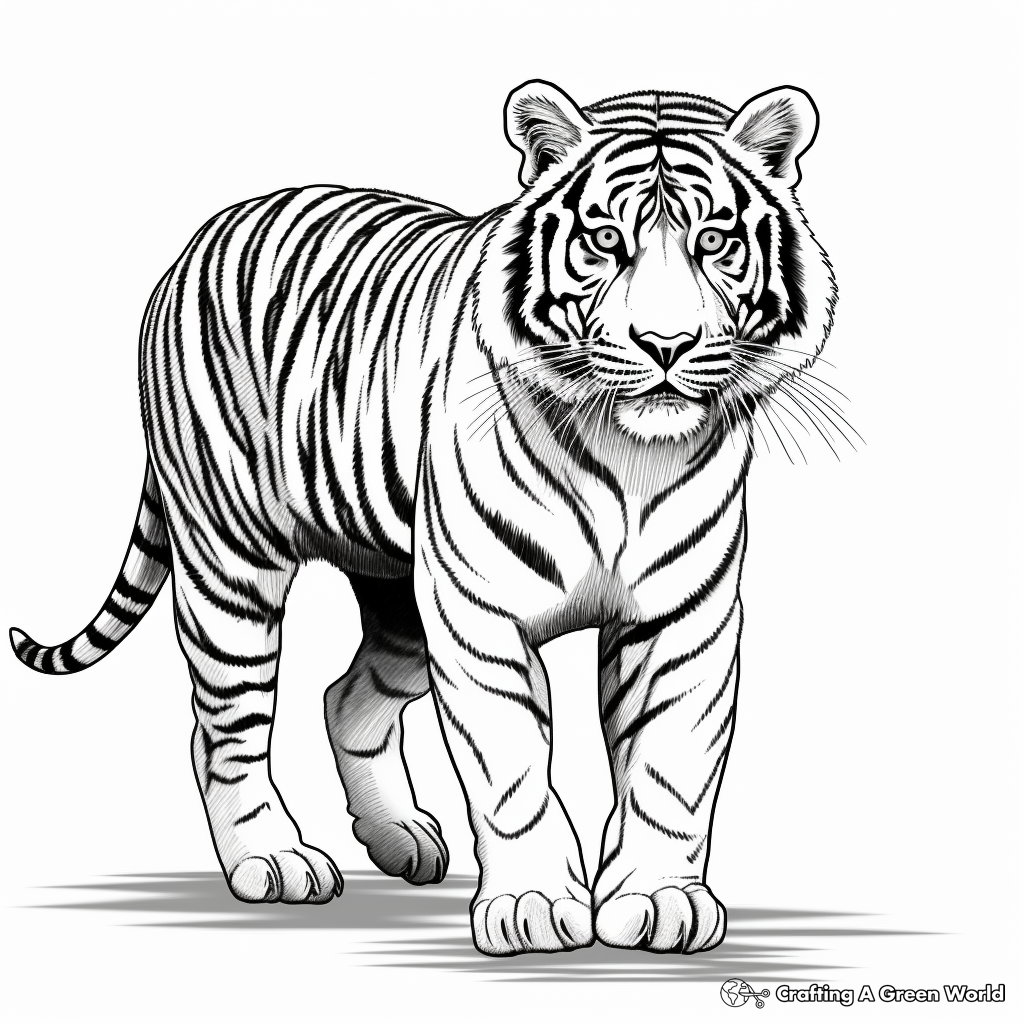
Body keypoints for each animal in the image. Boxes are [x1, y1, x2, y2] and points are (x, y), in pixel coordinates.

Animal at [10, 80, 836, 956]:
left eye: (715, 240)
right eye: (605, 240)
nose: (666, 343)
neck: (629, 457)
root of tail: (197, 242)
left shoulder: (683, 617)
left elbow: (669, 766)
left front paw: (658, 898)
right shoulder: (479, 613)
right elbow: (512, 768)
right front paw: (534, 904)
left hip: (403, 595)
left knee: (344, 696)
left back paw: (397, 837)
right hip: (232, 562)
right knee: (225, 728)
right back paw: (272, 859)